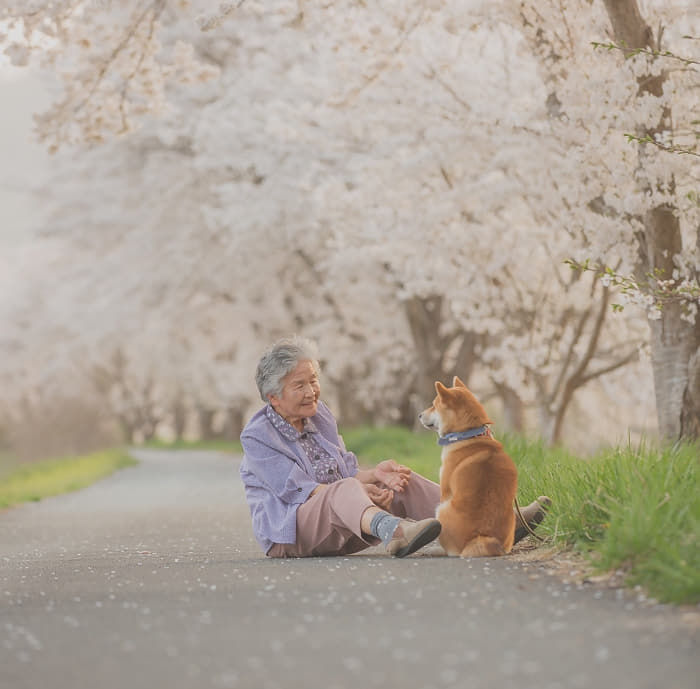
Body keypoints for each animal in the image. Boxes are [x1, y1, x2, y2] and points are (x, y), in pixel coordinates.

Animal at [418, 374, 516, 556]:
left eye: (434, 405)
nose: (419, 415)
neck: (469, 435)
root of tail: (483, 537)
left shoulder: (445, 490)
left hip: (441, 509)